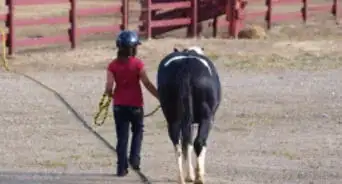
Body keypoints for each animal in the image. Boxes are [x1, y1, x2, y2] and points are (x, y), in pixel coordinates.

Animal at [157, 46, 222, 184]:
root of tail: (186, 67)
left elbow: (187, 144)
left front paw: (189, 175)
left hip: (173, 119)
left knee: (179, 144)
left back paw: (182, 178)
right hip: (206, 117)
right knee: (199, 142)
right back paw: (199, 177)